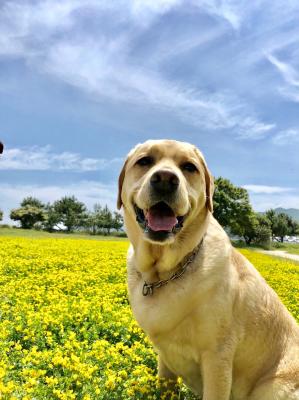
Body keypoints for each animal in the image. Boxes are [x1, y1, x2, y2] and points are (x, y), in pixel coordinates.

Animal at [118, 140, 299, 400]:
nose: (165, 179)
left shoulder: (217, 356)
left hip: (272, 388)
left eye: (189, 167)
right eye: (144, 161)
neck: (163, 272)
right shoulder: (165, 359)